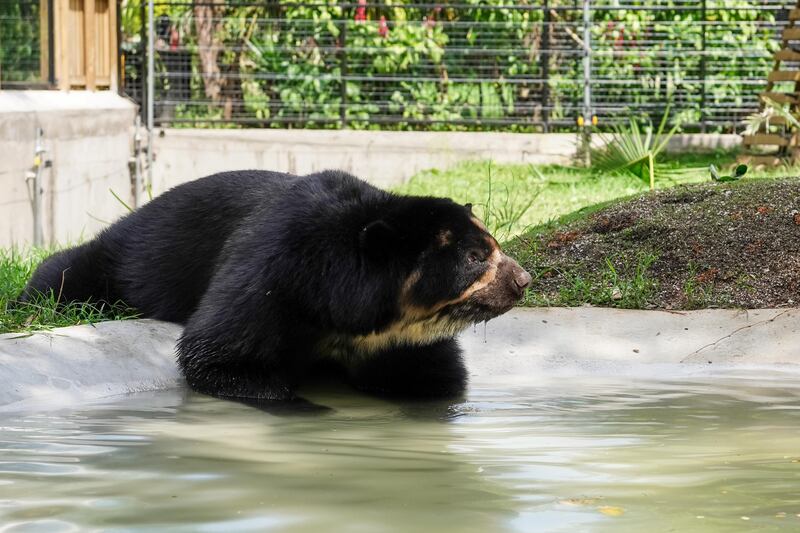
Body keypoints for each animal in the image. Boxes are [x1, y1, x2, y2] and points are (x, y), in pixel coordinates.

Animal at [20, 170, 532, 404]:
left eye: (494, 245)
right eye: (474, 257)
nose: (522, 280)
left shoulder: (397, 339)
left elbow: (435, 375)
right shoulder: (272, 273)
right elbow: (217, 353)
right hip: (126, 258)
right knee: (63, 275)